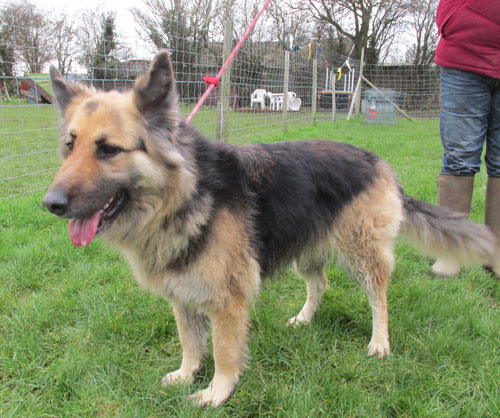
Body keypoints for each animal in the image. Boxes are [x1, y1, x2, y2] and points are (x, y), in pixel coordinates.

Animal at [44, 50, 500, 406]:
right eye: (70, 145)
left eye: (108, 150)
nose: (51, 204)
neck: (183, 196)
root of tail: (377, 161)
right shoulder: (181, 292)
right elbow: (190, 341)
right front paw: (187, 374)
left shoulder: (227, 301)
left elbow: (224, 351)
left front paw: (217, 392)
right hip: (306, 250)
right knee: (320, 284)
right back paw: (304, 319)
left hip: (362, 254)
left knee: (379, 298)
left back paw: (380, 343)